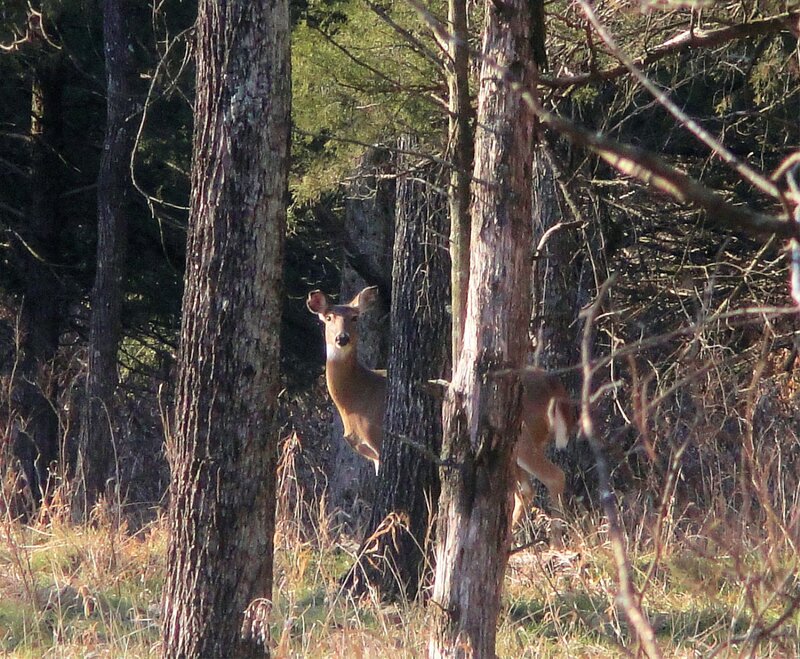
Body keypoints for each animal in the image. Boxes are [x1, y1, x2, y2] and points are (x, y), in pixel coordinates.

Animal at [307, 285, 578, 539]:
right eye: (328, 317)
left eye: (355, 318)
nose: (342, 338)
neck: (356, 398)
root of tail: (552, 384)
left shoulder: (380, 440)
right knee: (524, 490)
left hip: (523, 435)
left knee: (553, 477)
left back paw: (555, 542)